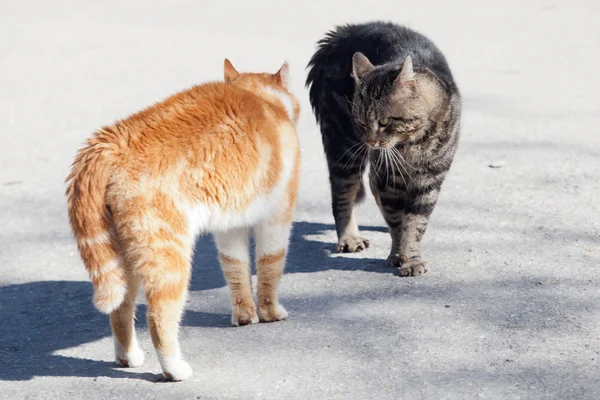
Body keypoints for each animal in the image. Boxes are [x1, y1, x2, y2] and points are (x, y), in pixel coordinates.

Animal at [66, 59, 300, 382]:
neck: (260, 99)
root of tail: (110, 143)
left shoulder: (230, 227)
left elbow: (236, 269)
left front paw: (244, 316)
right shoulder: (277, 217)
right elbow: (270, 266)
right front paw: (269, 313)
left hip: (123, 254)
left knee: (121, 309)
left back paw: (128, 357)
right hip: (168, 257)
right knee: (158, 317)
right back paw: (174, 369)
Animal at [308, 21, 462, 276]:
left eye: (384, 122)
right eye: (361, 123)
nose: (370, 141)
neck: (411, 145)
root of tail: (343, 32)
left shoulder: (429, 180)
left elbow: (416, 223)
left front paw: (411, 258)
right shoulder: (389, 179)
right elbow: (397, 222)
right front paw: (398, 255)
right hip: (343, 147)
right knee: (342, 194)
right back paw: (349, 238)